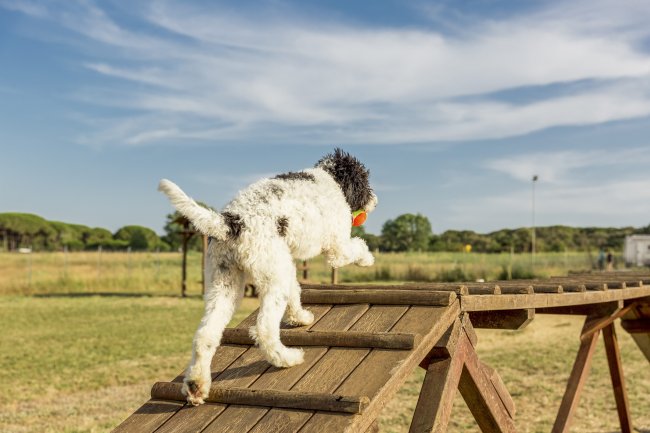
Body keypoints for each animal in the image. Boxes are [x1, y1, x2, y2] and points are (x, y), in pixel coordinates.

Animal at [159, 148, 378, 404]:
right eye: (364, 179)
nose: (375, 200)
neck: (330, 178)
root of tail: (231, 222)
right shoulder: (337, 248)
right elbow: (354, 249)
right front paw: (367, 258)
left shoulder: (287, 262)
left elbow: (296, 290)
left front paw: (299, 317)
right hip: (271, 276)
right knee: (263, 328)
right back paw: (288, 358)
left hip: (225, 281)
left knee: (205, 334)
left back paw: (196, 385)